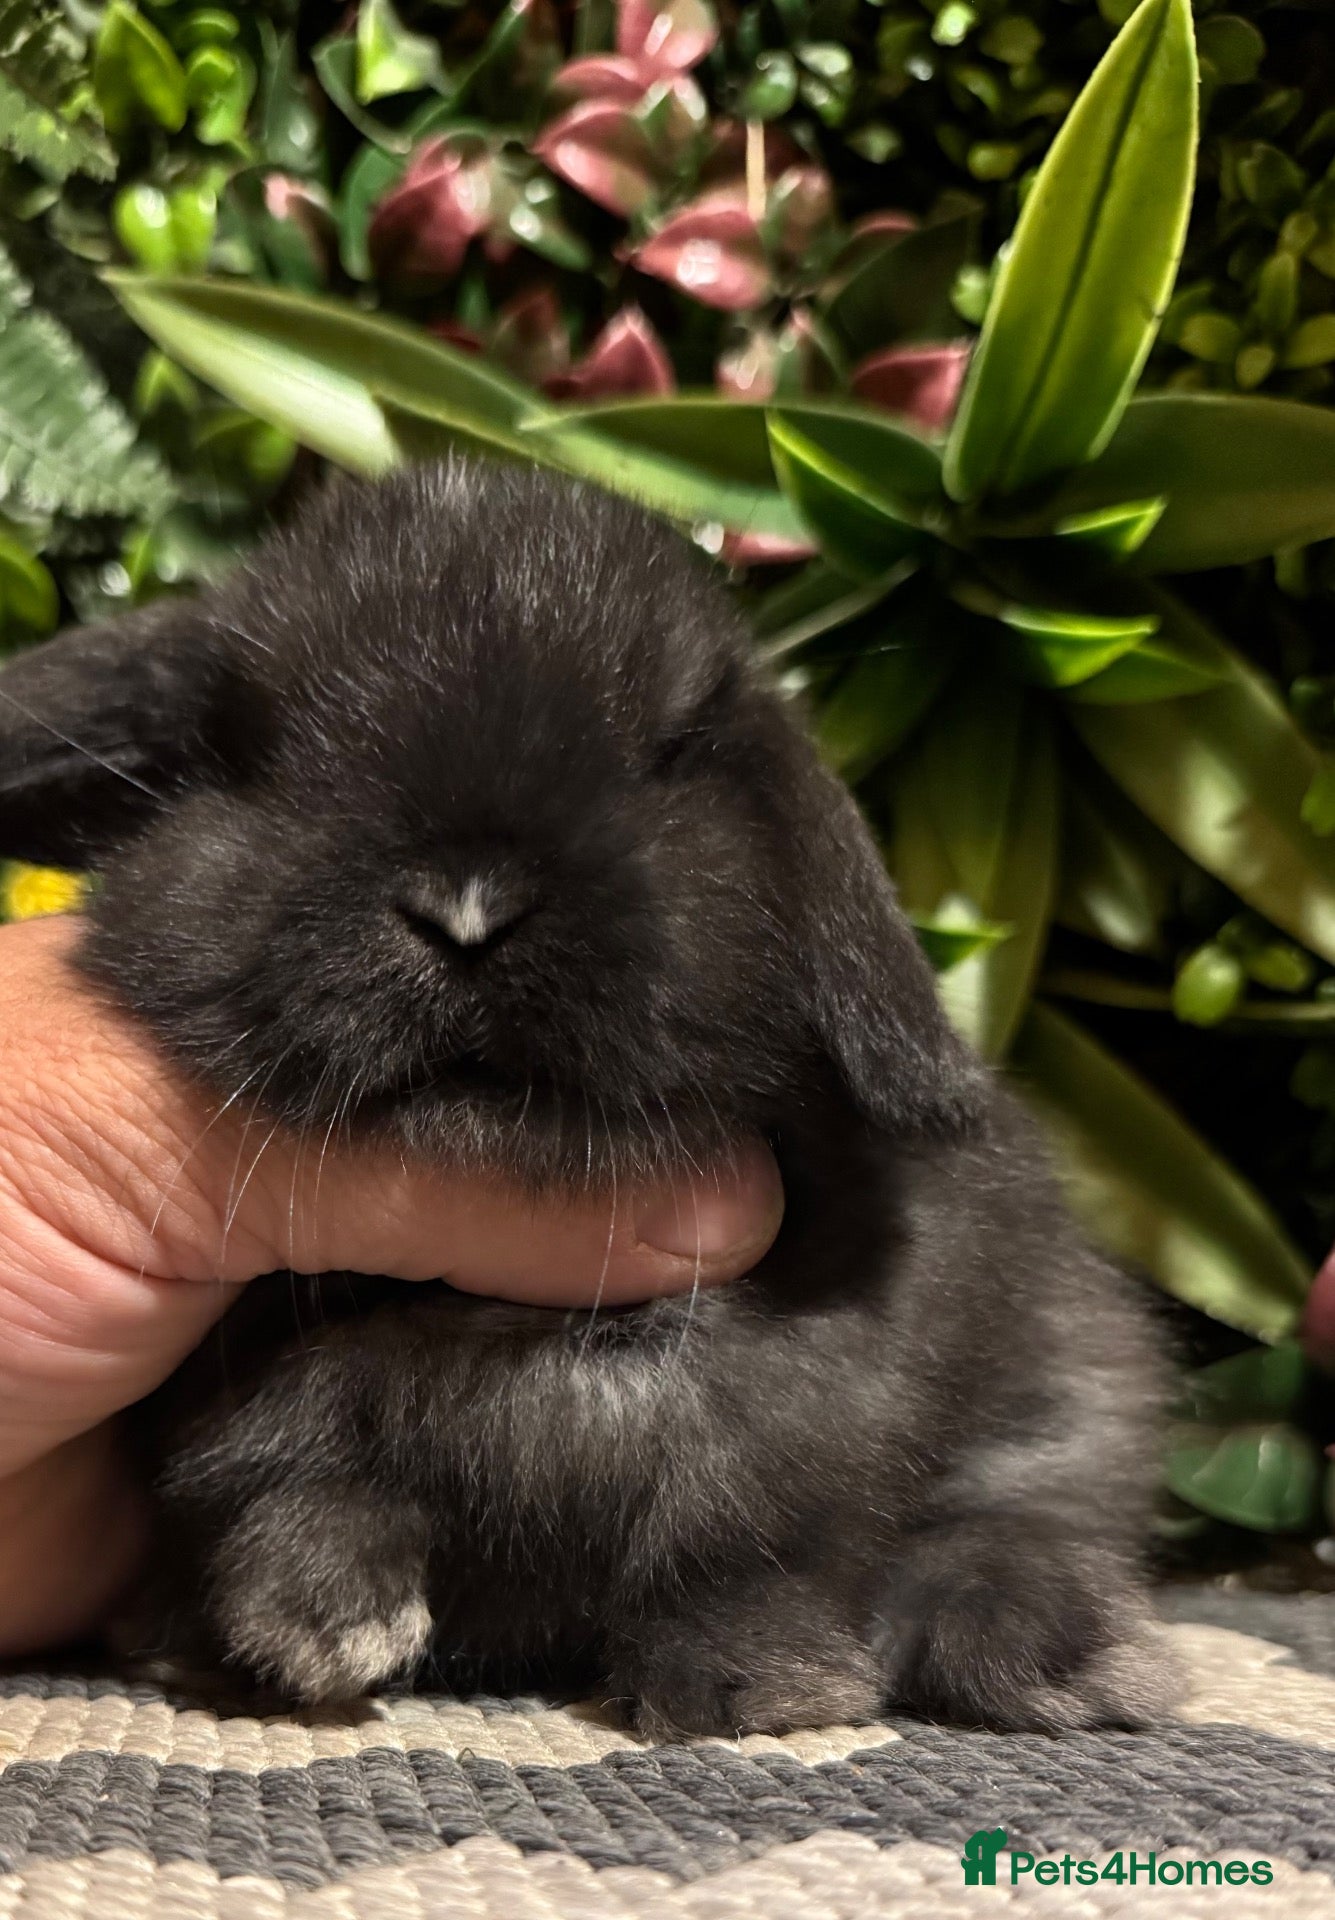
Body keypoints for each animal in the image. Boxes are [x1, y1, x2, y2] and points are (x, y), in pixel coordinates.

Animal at [0, 458, 1173, 1737]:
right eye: (251, 750)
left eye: (667, 751)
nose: (466, 907)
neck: (512, 1331)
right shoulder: (252, 1419)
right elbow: (297, 1487)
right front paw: (318, 1626)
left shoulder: (804, 1429)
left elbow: (739, 1552)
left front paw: (757, 1685)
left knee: (1017, 1517)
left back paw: (1048, 1651)